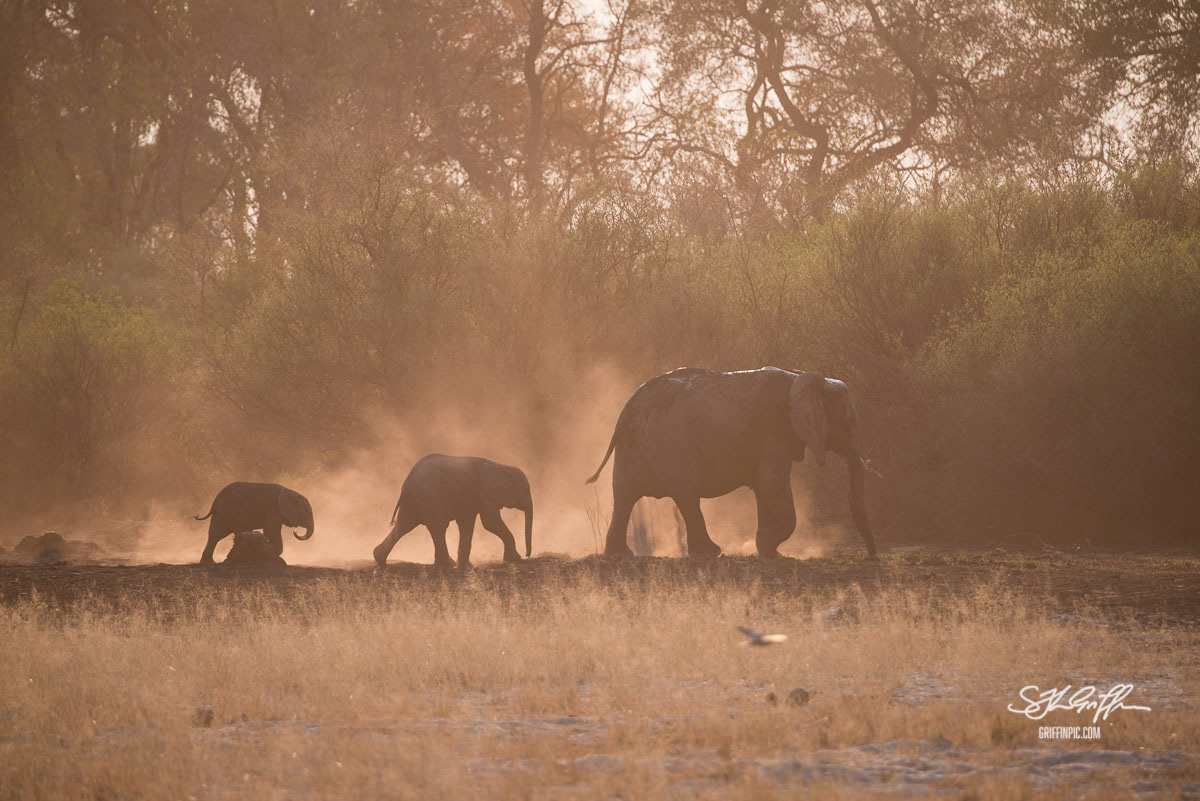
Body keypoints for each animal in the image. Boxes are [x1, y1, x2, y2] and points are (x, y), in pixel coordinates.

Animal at [373, 454, 533, 569]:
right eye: (526, 491)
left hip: (414, 500)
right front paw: (515, 559)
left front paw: (466, 567)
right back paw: (448, 564)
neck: (502, 466)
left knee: (404, 526)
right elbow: (490, 522)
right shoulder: (485, 493)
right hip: (429, 497)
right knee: (438, 527)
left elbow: (466, 523)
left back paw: (379, 559)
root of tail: (406, 484)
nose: (527, 555)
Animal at [586, 367, 878, 559]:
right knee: (686, 497)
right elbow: (771, 484)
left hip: (632, 448)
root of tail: (625, 412)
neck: (803, 376)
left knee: (624, 496)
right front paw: (770, 550)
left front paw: (768, 551)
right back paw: (711, 553)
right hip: (670, 448)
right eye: (849, 419)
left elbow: (764, 488)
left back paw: (620, 555)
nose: (872, 558)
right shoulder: (776, 431)